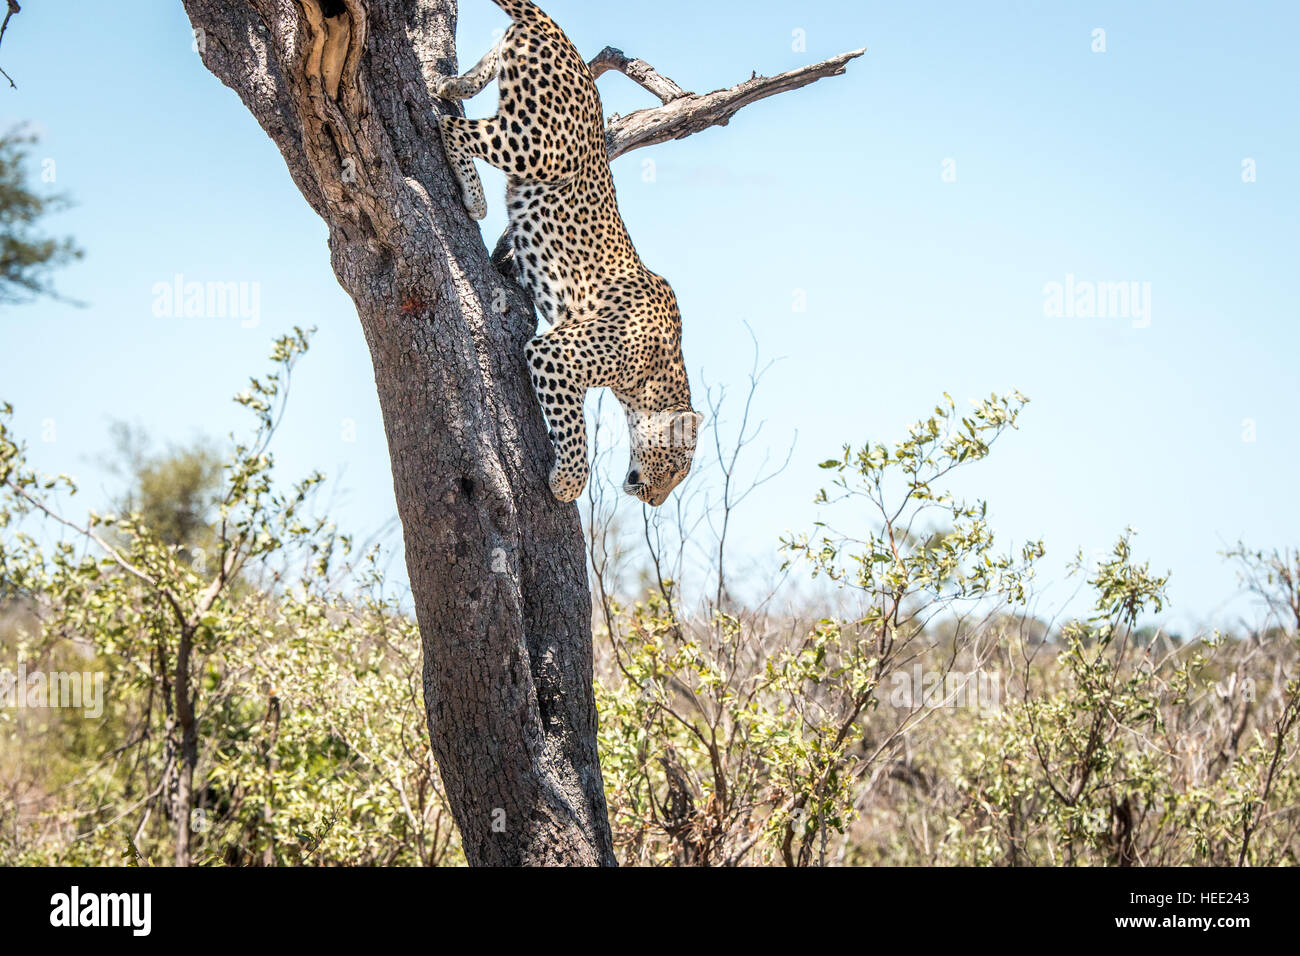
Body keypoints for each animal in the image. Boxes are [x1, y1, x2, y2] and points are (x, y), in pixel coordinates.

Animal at [434, 0, 701, 507]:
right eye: (679, 468)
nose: (655, 502)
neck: (656, 376)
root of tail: (555, 30)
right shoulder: (555, 353)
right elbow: (575, 430)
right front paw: (568, 483)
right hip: (536, 144)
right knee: (453, 127)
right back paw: (474, 196)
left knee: (467, 90)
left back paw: (451, 84)